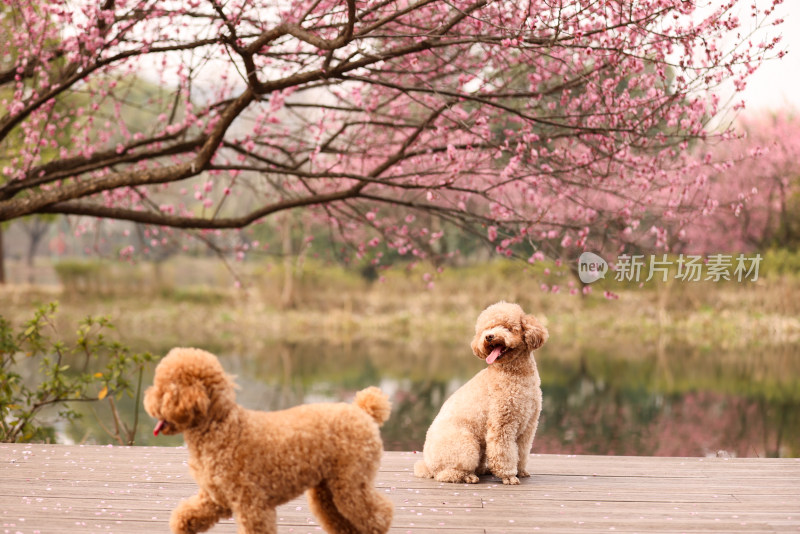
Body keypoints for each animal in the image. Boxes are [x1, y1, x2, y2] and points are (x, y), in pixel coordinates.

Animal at [145, 348, 396, 534]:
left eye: (162, 389)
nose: (147, 401)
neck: (219, 428)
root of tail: (362, 411)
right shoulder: (216, 498)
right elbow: (187, 514)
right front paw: (182, 525)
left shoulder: (251, 504)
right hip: (327, 490)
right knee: (343, 521)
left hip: (351, 482)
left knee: (379, 515)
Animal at [416, 304, 548, 488]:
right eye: (486, 329)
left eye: (507, 327)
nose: (489, 336)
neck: (515, 375)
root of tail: (427, 464)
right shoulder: (502, 425)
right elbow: (504, 452)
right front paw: (508, 476)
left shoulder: (528, 426)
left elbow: (521, 452)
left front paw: (520, 471)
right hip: (466, 445)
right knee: (445, 474)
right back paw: (468, 476)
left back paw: (482, 470)